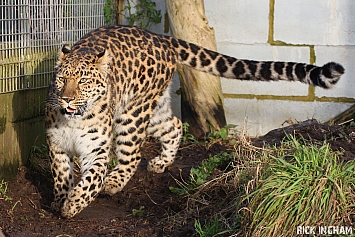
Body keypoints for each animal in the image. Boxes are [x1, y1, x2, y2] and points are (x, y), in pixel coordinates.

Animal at [45, 24, 344, 218]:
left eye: (83, 81)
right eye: (62, 79)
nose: (67, 99)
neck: (74, 120)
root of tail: (162, 38)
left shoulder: (95, 149)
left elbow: (91, 179)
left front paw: (72, 205)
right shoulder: (56, 145)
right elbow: (60, 175)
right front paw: (60, 200)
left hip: (132, 113)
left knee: (132, 154)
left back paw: (114, 182)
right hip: (150, 108)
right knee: (174, 126)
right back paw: (161, 162)